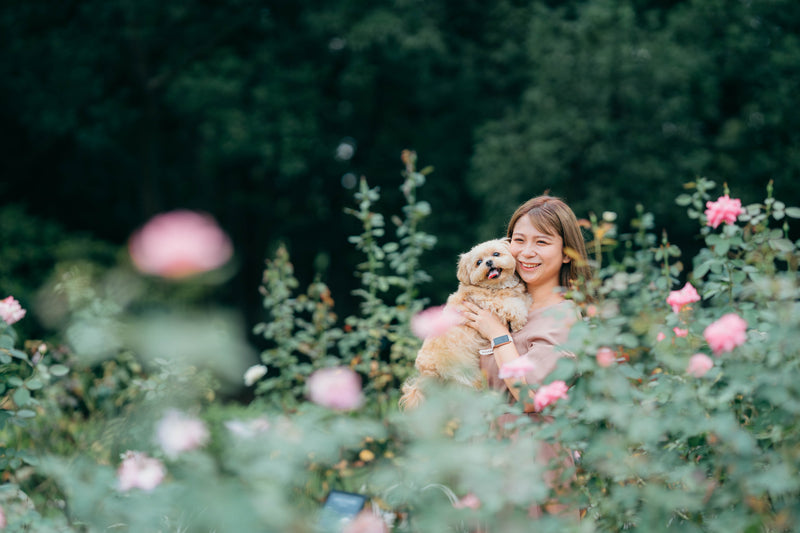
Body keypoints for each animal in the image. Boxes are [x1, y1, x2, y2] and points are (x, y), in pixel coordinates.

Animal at [400, 239, 532, 410]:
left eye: (496, 254)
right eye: (478, 262)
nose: (488, 262)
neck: (496, 286)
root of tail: (427, 372)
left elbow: (524, 299)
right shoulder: (491, 304)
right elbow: (514, 306)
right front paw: (519, 322)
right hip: (468, 375)